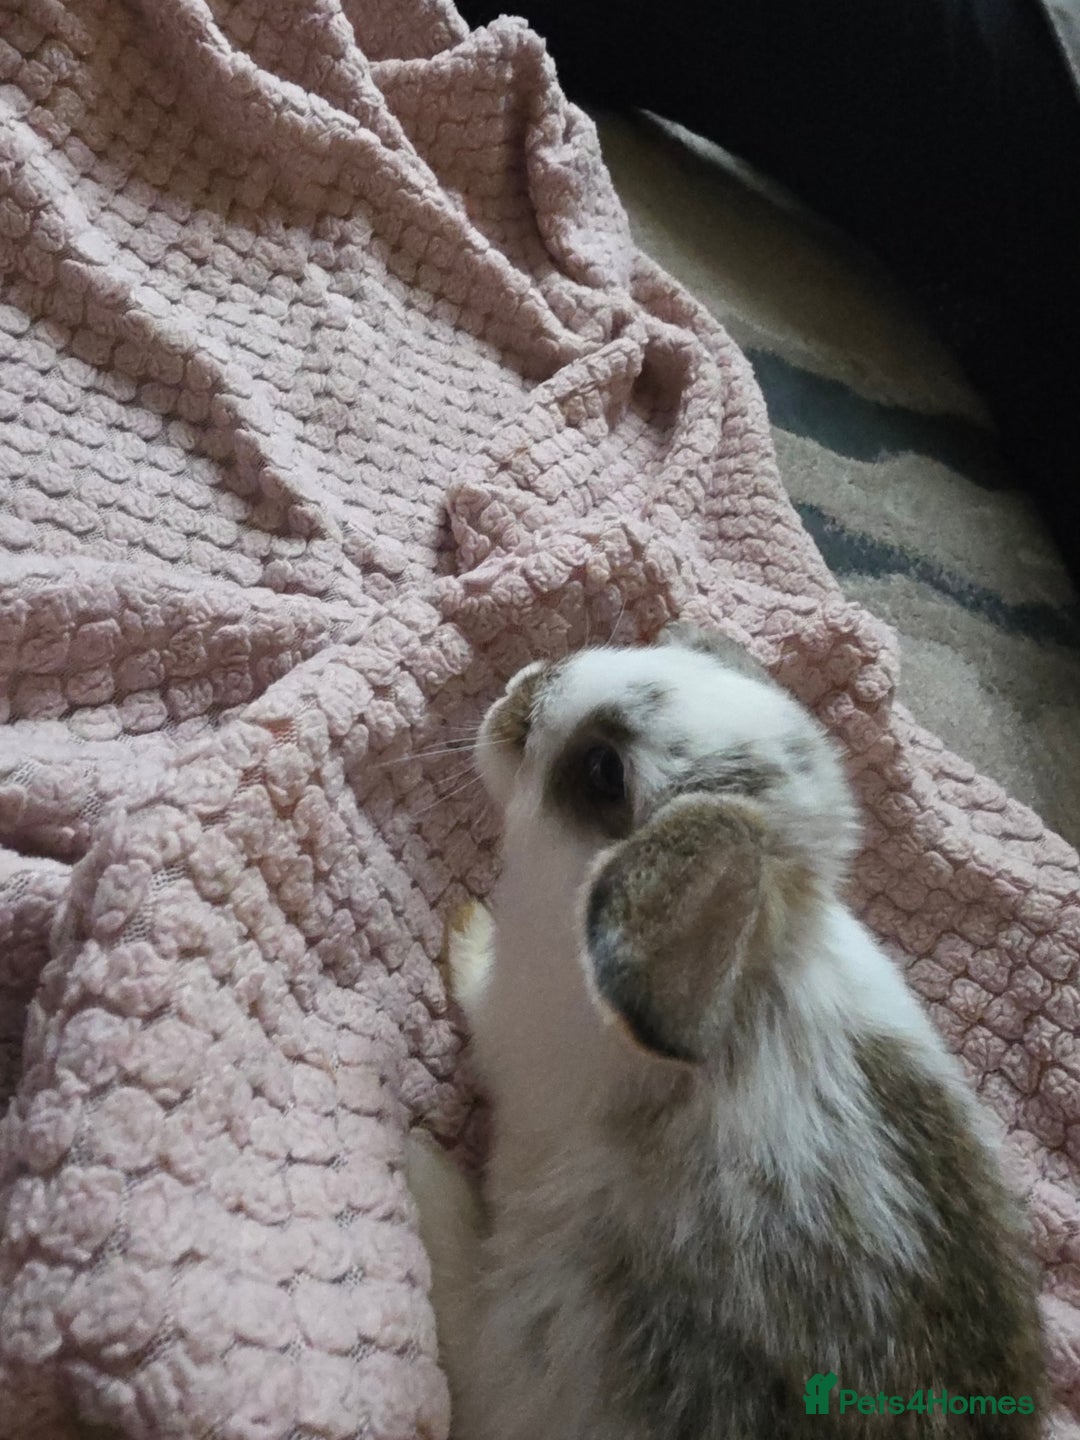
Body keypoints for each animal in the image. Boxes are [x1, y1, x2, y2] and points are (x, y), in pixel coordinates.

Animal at [407, 622, 1045, 1440]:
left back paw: (420, 1170)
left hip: (532, 1327)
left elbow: (476, 999)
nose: (518, 692)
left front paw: (465, 931)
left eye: (603, 771)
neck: (760, 974)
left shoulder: (508, 1025)